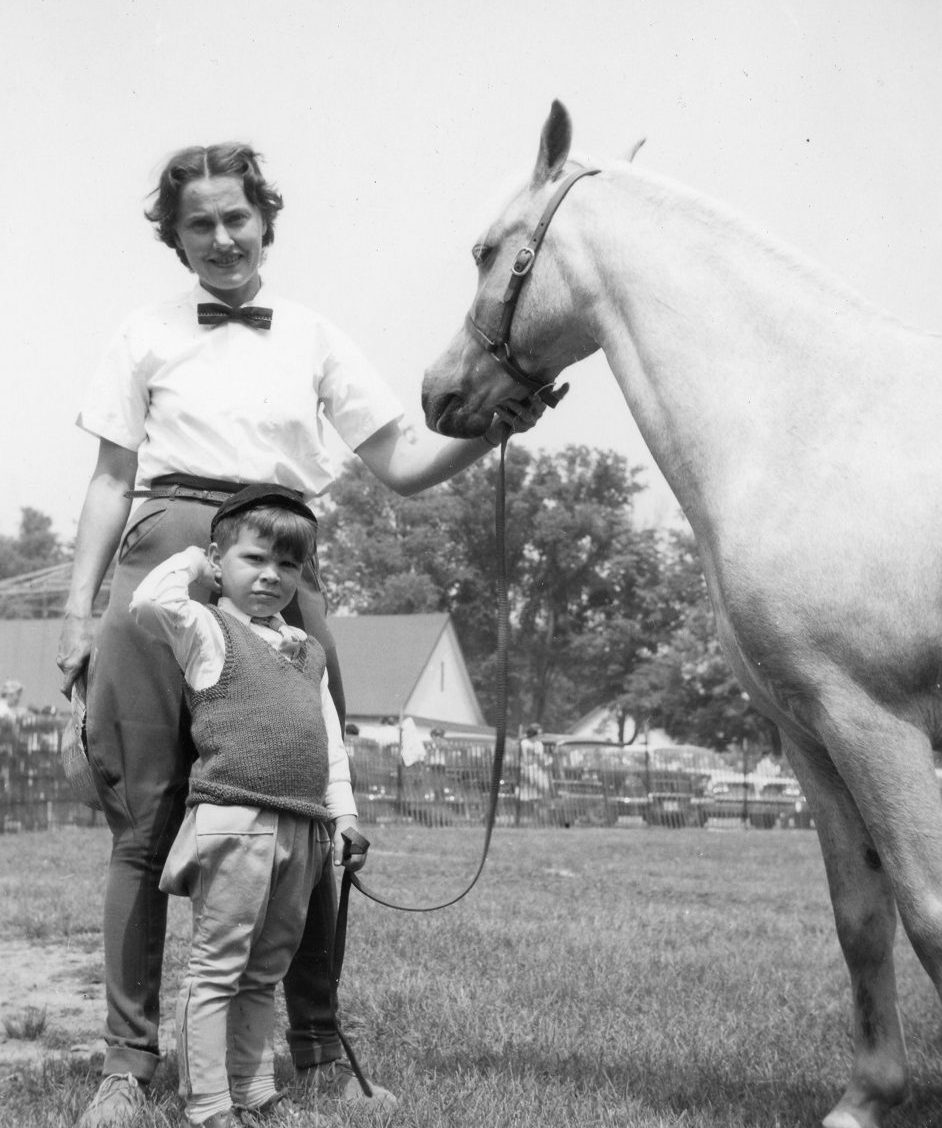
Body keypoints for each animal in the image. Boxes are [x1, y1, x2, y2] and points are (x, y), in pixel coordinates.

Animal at [424, 99, 942, 1128]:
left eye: (485, 250)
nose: (438, 393)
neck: (812, 425)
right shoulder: (810, 732)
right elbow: (860, 915)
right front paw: (868, 1097)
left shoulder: (882, 724)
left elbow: (928, 912)